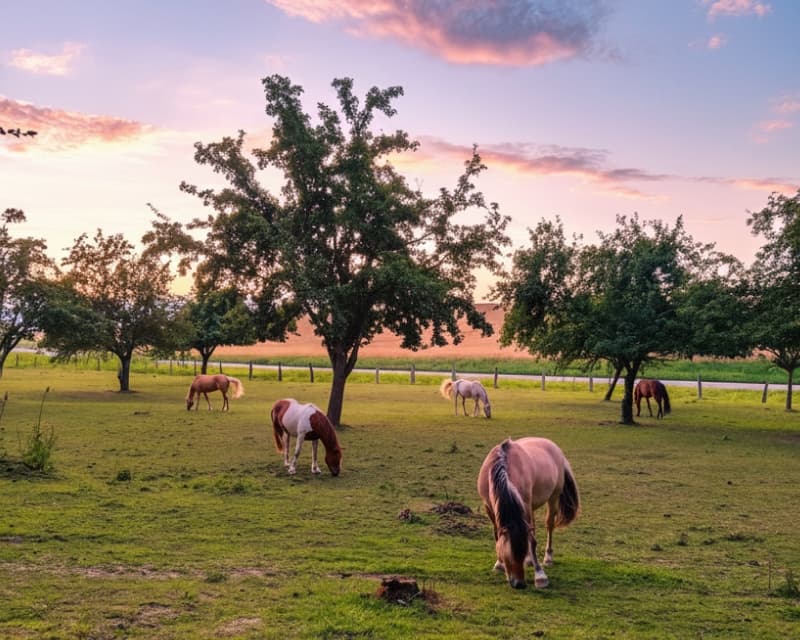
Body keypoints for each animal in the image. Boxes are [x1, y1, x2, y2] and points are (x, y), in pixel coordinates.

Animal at [477, 437, 580, 590]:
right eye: (509, 556)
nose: (519, 584)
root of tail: (554, 447)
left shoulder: (524, 505)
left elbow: (532, 540)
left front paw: (540, 575)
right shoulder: (489, 508)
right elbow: (497, 535)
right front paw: (499, 564)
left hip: (553, 498)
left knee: (549, 525)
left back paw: (548, 558)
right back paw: (530, 560)